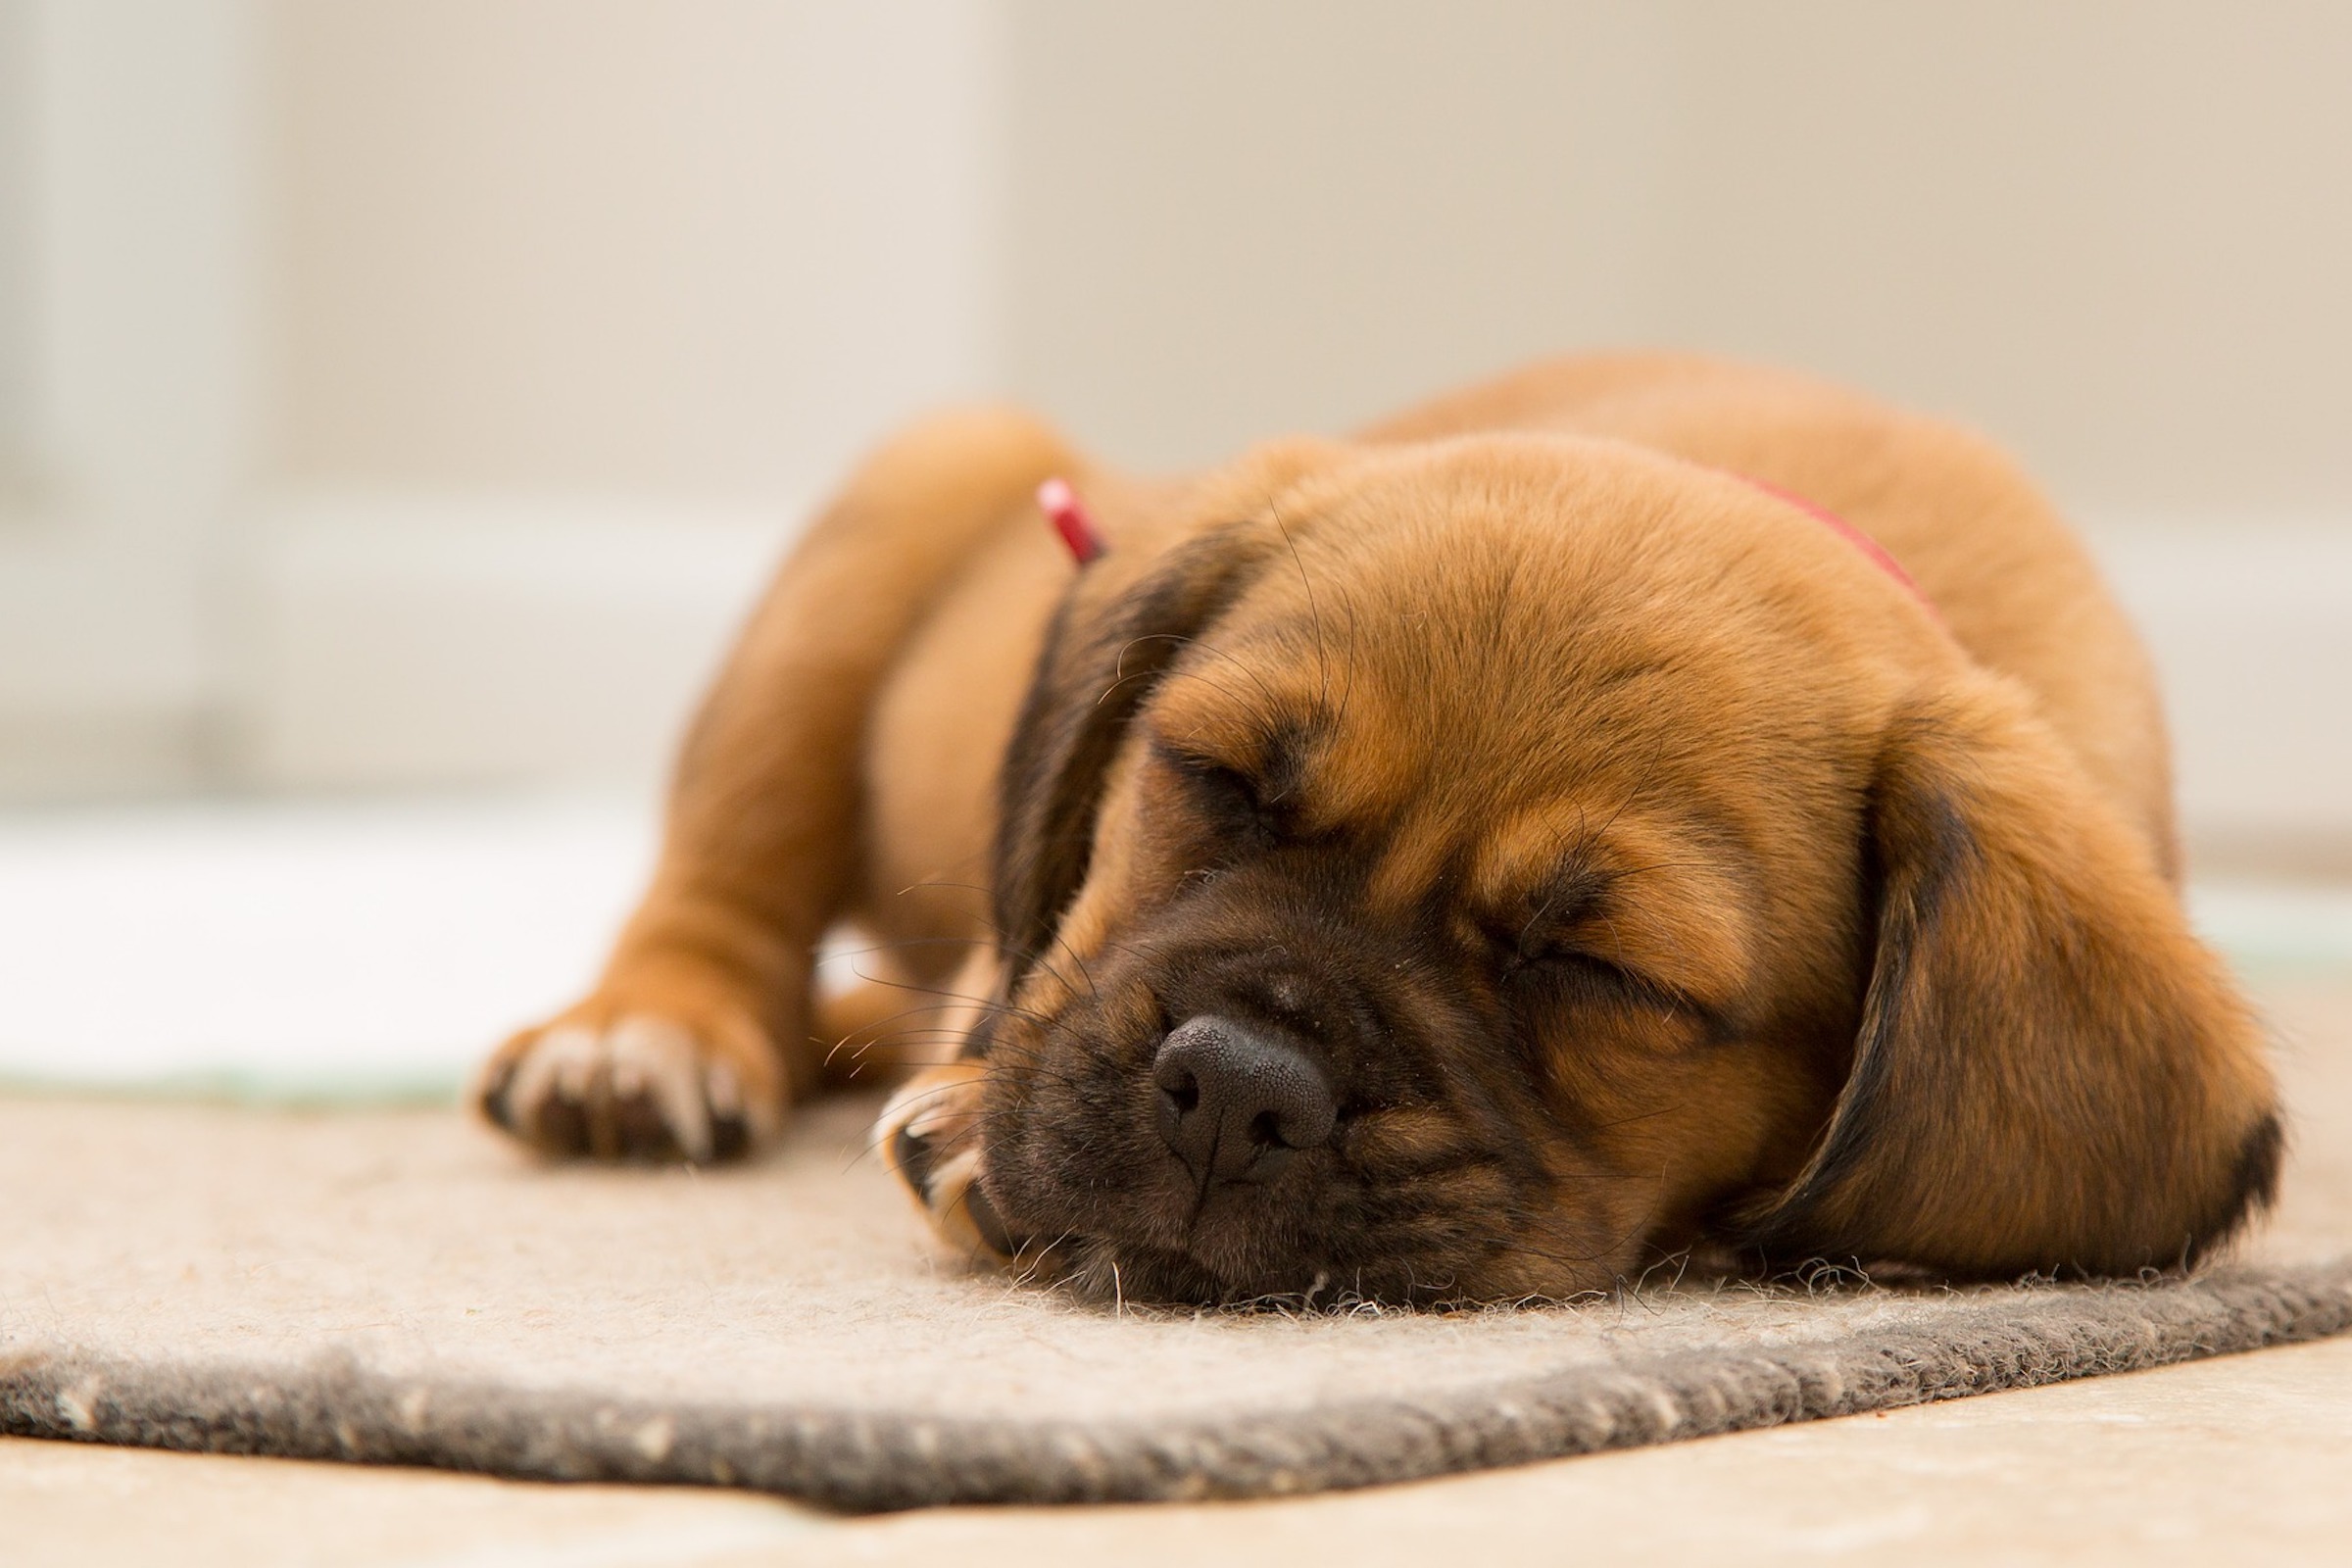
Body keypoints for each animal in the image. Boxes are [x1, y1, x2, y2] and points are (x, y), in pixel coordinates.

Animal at [472, 352, 2277, 1298]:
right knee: (727, 885)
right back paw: (646, 1035)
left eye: (1600, 970)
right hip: (900, 514)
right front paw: (979, 1108)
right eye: (1213, 779)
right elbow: (1024, 972)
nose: (1235, 1090)